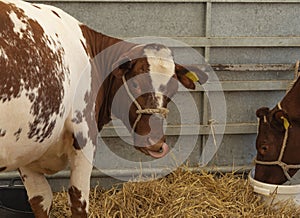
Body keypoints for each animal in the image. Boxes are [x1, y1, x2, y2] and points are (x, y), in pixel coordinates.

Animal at [0, 0, 207, 216]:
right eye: (134, 84)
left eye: (174, 89)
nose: (156, 144)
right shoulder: (84, 138)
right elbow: (78, 202)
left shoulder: (27, 151)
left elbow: (41, 200)